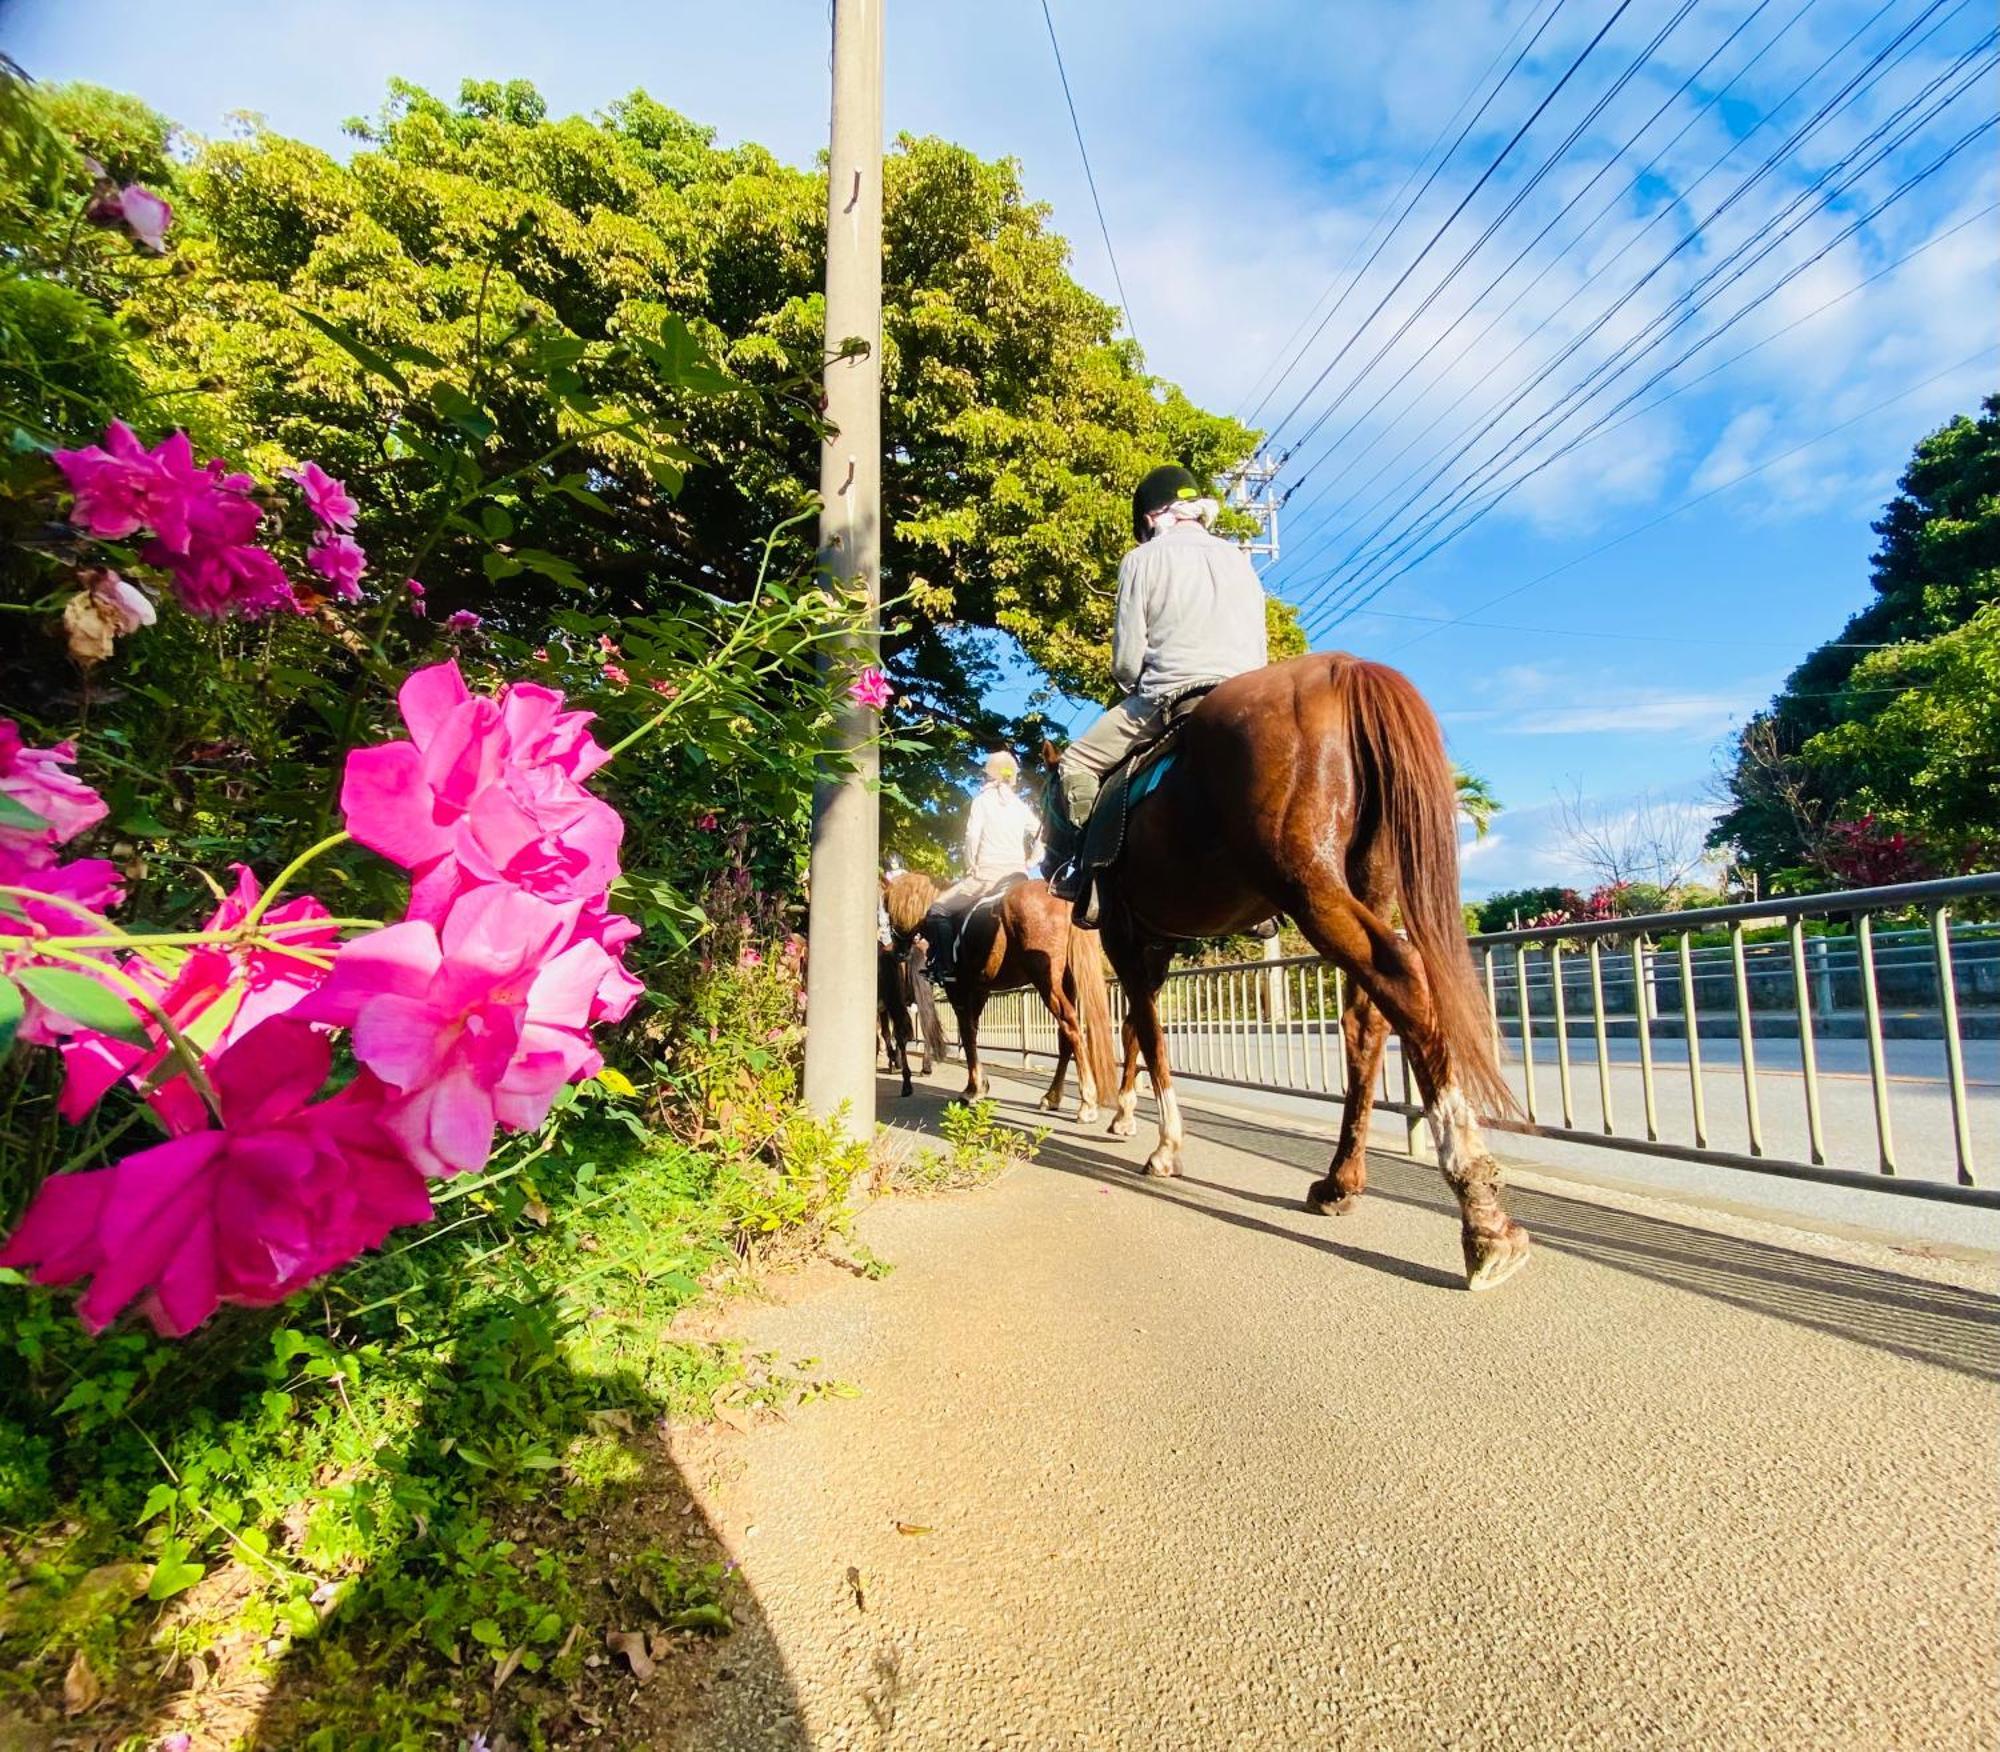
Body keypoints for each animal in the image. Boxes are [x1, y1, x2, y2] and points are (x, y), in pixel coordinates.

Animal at [1048, 652, 1528, 1296]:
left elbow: (1146, 1033)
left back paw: (1481, 1215)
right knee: (1366, 1018)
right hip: (1369, 880)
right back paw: (1342, 1181)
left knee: (1402, 977)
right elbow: (1137, 1032)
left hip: (1309, 884)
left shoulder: (1127, 938)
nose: (1052, 864)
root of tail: (1346, 671)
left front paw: (1165, 1146)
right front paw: (1128, 1117)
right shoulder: (1156, 946)